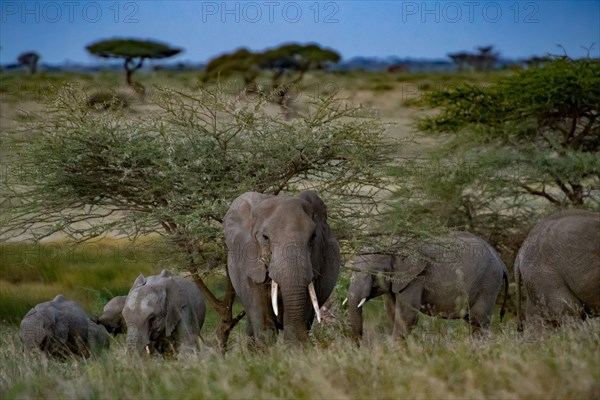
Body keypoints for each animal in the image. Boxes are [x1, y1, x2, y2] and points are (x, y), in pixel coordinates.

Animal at [346, 231, 506, 340]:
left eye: (373, 274)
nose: (358, 346)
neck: (394, 241)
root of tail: (501, 262)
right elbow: (392, 313)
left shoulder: (416, 279)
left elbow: (407, 316)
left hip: (489, 282)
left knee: (478, 321)